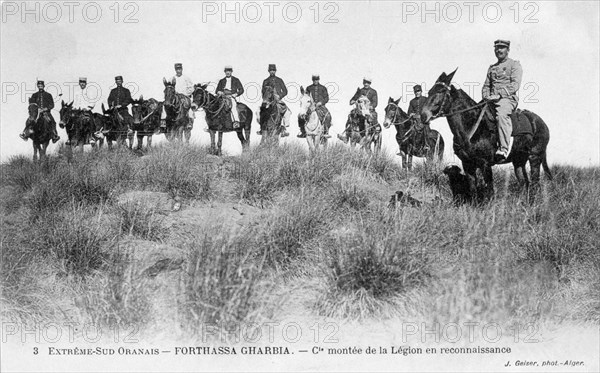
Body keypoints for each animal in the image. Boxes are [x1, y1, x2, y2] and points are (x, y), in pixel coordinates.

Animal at [418, 70, 552, 203]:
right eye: (429, 92)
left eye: (440, 91)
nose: (423, 116)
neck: (471, 127)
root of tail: (541, 122)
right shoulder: (467, 164)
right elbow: (473, 189)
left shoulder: (485, 164)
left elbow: (490, 190)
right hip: (518, 160)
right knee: (525, 183)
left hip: (534, 157)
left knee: (535, 184)